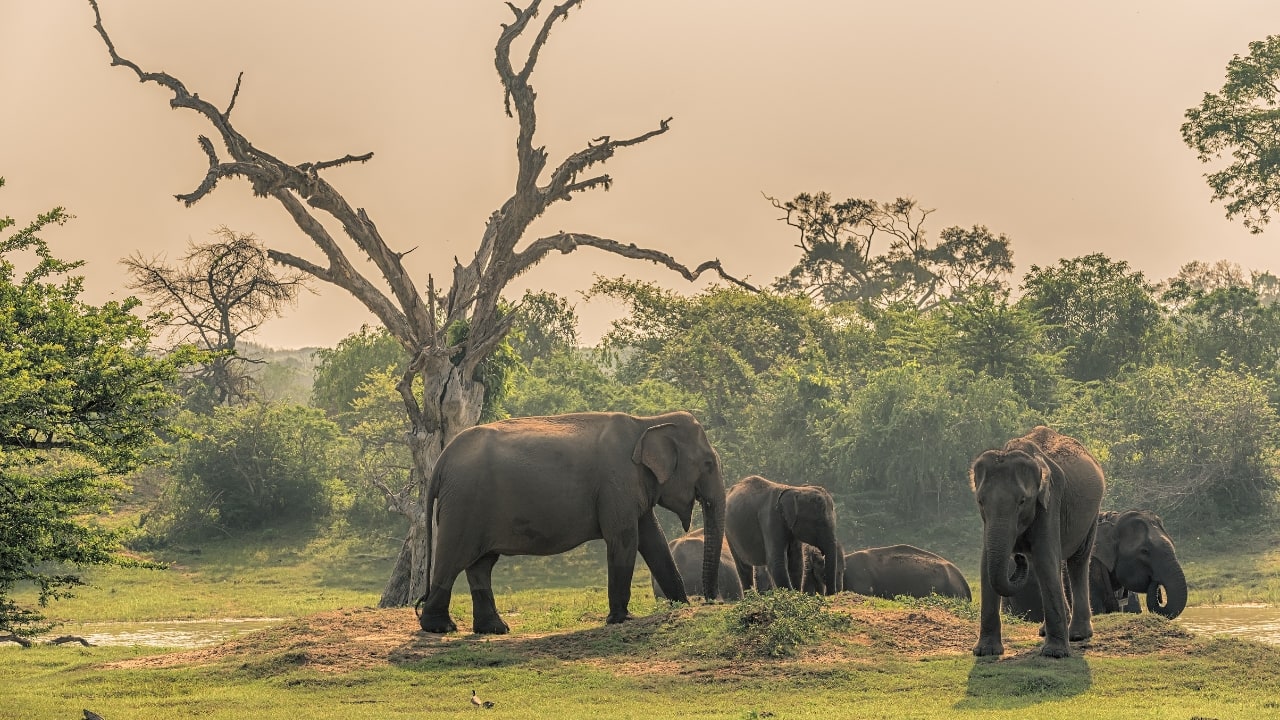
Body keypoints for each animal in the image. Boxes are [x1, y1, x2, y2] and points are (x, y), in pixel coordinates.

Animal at [414, 411, 726, 634]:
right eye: (709, 464)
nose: (712, 601)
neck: (648, 422)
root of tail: (441, 460)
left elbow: (653, 540)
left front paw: (681, 606)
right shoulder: (617, 483)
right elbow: (624, 538)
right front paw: (621, 619)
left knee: (481, 564)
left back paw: (494, 630)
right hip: (464, 504)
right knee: (454, 558)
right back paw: (441, 628)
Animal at [970, 426, 1105, 658]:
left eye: (1022, 501)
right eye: (980, 501)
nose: (1018, 557)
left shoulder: (1051, 500)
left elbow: (1045, 558)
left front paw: (1054, 654)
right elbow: (986, 562)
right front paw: (985, 652)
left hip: (1092, 514)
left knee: (1077, 561)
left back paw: (1078, 635)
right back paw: (1046, 630)